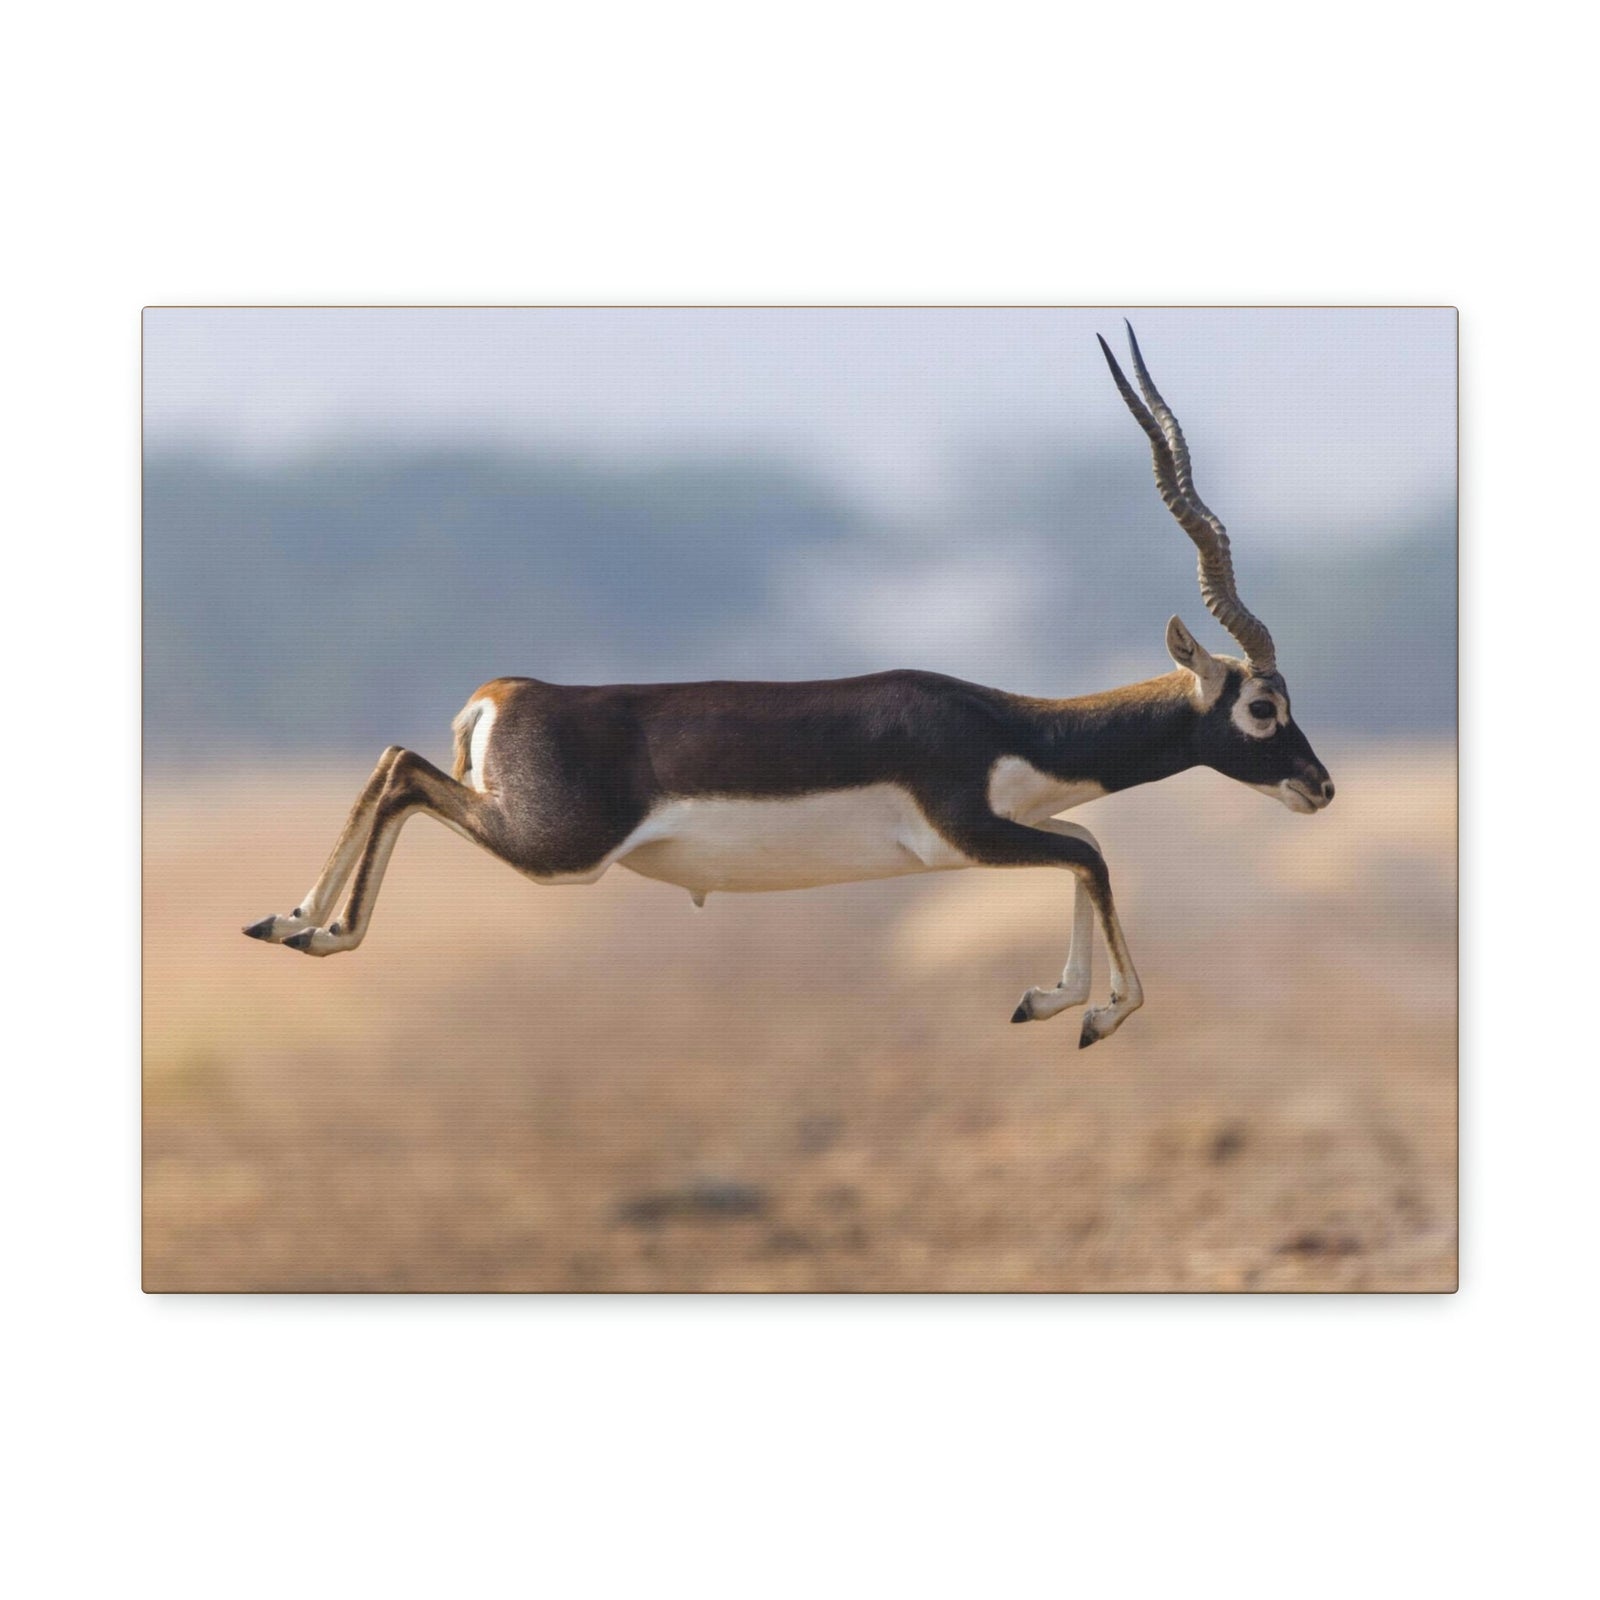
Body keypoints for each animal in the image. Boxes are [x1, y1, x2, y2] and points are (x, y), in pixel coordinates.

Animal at [244, 323, 1334, 1048]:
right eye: (1262, 705)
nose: (1319, 785)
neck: (1006, 726)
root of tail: (506, 694)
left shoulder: (1002, 830)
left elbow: (1087, 849)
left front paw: (1049, 1000)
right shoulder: (964, 834)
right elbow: (1089, 855)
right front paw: (1096, 1011)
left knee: (395, 761)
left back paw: (293, 923)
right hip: (555, 849)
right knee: (403, 771)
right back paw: (311, 928)